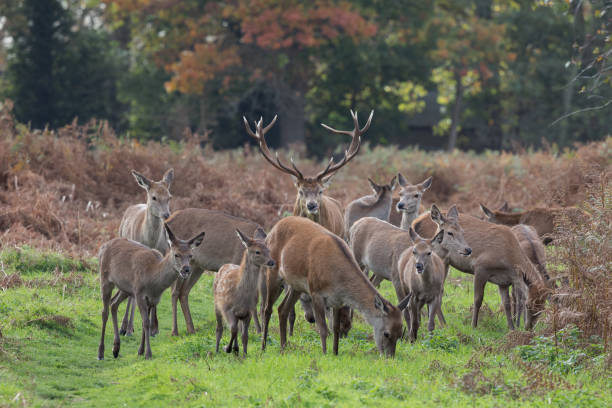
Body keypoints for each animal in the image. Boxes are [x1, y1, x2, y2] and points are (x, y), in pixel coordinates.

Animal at [98, 223, 206, 360]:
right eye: (176, 254)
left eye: (191, 255)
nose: (186, 270)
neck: (153, 281)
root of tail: (103, 246)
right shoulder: (139, 292)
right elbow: (145, 323)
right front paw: (148, 354)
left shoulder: (153, 299)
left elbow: (146, 323)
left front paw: (140, 351)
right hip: (105, 277)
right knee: (104, 311)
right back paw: (100, 353)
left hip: (125, 288)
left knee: (113, 304)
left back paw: (116, 349)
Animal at [117, 167, 173, 336]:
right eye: (154, 197)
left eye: (169, 197)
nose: (166, 215)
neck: (150, 241)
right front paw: (128, 328)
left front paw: (154, 328)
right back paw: (125, 327)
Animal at [214, 228, 274, 356]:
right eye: (257, 252)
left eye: (269, 250)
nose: (272, 262)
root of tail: (225, 265)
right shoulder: (227, 309)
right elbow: (233, 329)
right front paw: (226, 348)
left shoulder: (249, 311)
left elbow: (244, 335)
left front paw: (244, 354)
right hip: (216, 304)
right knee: (219, 328)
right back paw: (216, 350)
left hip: (239, 315)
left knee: (238, 329)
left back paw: (236, 349)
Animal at [262, 217, 406, 356]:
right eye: (386, 333)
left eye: (400, 333)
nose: (389, 357)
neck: (337, 277)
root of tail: (272, 230)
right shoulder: (316, 292)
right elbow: (323, 328)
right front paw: (325, 354)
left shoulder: (337, 301)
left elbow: (335, 328)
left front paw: (335, 352)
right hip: (273, 271)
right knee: (267, 309)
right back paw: (263, 346)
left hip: (296, 286)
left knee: (282, 309)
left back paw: (283, 347)